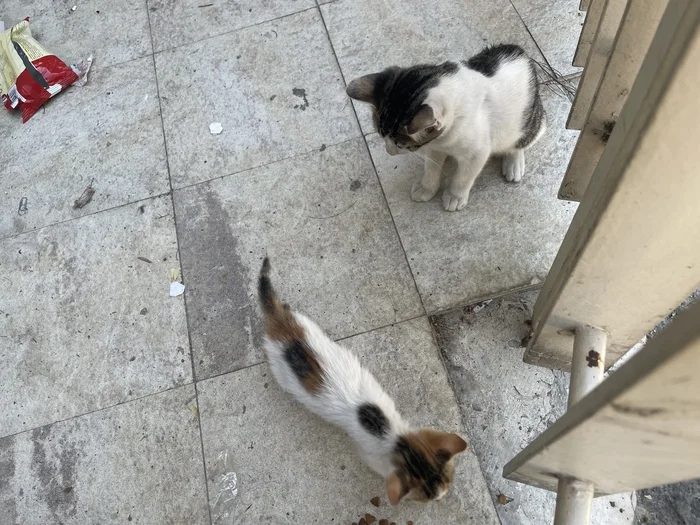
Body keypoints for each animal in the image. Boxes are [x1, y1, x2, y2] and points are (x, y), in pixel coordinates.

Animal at [256, 258, 464, 504]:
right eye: (430, 497)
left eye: (448, 477)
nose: (444, 494)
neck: (391, 434)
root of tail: (278, 323)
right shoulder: (371, 455)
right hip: (279, 369)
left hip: (305, 323)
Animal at [348, 43, 544, 211]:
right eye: (381, 137)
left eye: (400, 144)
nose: (389, 152)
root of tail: (521, 53)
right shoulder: (434, 145)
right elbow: (431, 166)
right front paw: (426, 187)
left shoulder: (478, 152)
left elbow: (464, 176)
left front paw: (455, 195)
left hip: (530, 125)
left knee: (520, 142)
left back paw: (514, 162)